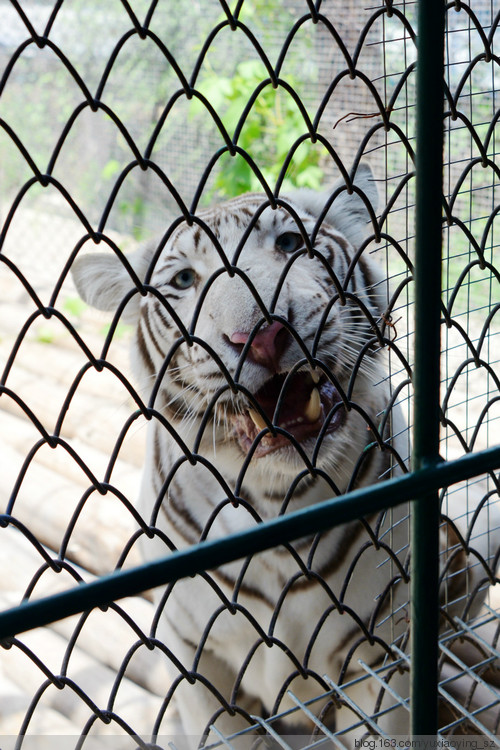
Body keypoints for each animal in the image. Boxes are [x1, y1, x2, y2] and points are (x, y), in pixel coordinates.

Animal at [72, 164, 498, 748]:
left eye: (290, 243)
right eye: (183, 281)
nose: (261, 336)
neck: (279, 496)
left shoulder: (381, 646)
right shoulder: (197, 660)